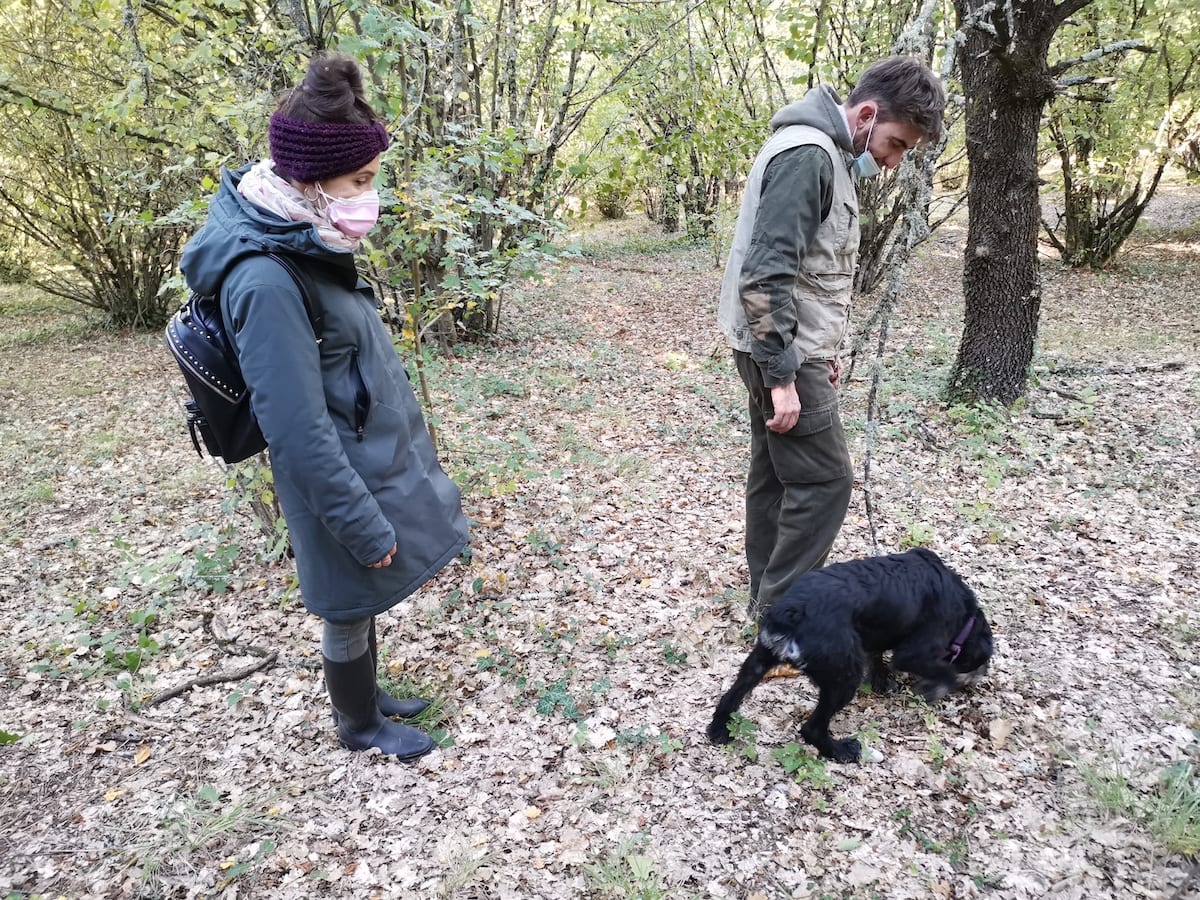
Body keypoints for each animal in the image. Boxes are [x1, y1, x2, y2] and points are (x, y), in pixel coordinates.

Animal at [705, 547, 988, 763]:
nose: (979, 679)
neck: (966, 618)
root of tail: (793, 611)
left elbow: (877, 657)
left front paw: (882, 682)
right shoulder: (914, 652)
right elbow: (944, 671)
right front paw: (935, 688)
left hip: (759, 660)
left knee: (731, 696)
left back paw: (719, 729)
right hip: (843, 679)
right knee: (812, 728)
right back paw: (840, 751)